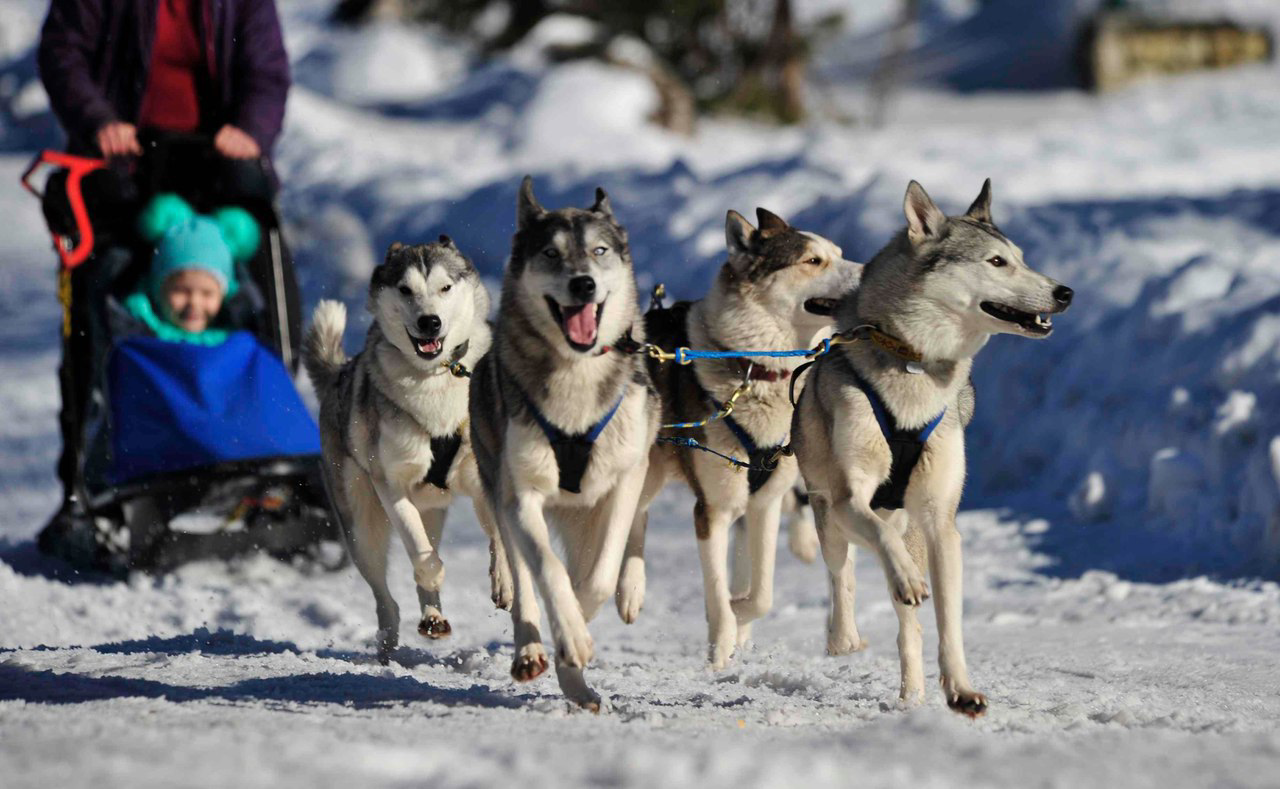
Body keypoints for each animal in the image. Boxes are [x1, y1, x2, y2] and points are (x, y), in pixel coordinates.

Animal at [304, 236, 509, 660]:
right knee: (387, 597)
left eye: (445, 287)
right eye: (405, 289)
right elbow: (420, 554)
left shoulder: (485, 475)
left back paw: (433, 617)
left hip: (433, 511)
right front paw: (434, 573)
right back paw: (394, 639)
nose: (429, 321)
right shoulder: (391, 484)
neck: (436, 379)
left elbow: (498, 536)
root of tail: (341, 372)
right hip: (361, 528)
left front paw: (504, 581)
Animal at [471, 176, 660, 707]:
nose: (583, 284)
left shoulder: (622, 481)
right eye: (551, 254)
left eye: (598, 250)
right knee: (521, 580)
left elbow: (596, 577)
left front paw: (579, 624)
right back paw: (535, 652)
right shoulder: (521, 497)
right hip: (500, 487)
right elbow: (546, 572)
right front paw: (568, 636)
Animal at [616, 207, 860, 666]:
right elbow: (717, 594)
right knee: (635, 516)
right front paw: (721, 644)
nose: (870, 270)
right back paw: (629, 591)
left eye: (840, 253)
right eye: (813, 260)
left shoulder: (763, 504)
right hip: (650, 469)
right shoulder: (713, 509)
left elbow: (760, 595)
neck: (757, 369)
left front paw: (738, 615)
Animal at [788, 179, 1070, 717]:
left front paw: (960, 688)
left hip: (910, 527)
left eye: (1022, 258)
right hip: (828, 514)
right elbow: (876, 541)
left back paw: (912, 691)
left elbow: (948, 621)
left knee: (908, 626)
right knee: (843, 572)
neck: (914, 360)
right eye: (997, 262)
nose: (1066, 292)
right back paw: (845, 636)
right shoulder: (852, 496)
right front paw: (901, 579)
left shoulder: (942, 523)